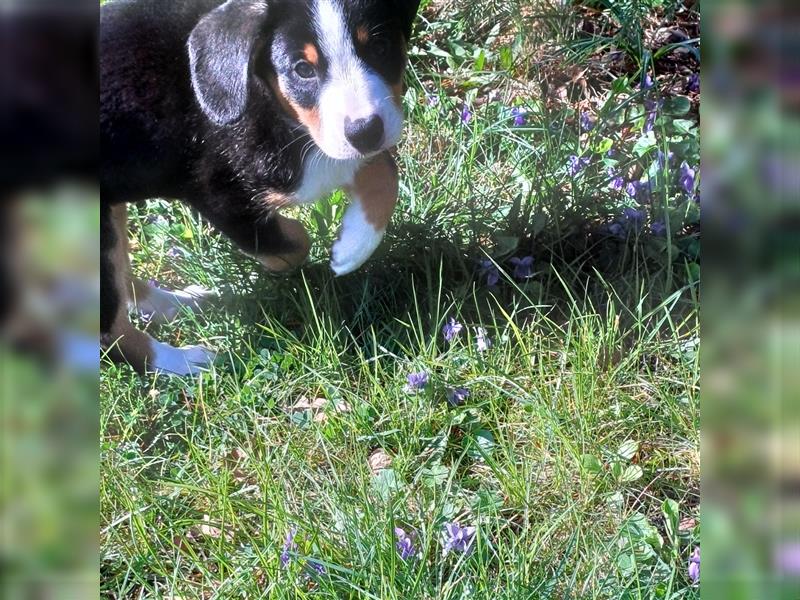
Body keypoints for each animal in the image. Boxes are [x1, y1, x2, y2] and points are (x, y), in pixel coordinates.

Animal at [101, 0, 418, 376]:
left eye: (380, 47)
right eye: (302, 69)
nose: (365, 131)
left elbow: (383, 169)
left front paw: (355, 242)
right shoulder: (223, 193)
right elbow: (294, 241)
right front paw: (334, 252)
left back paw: (181, 303)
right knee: (111, 333)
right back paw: (183, 361)